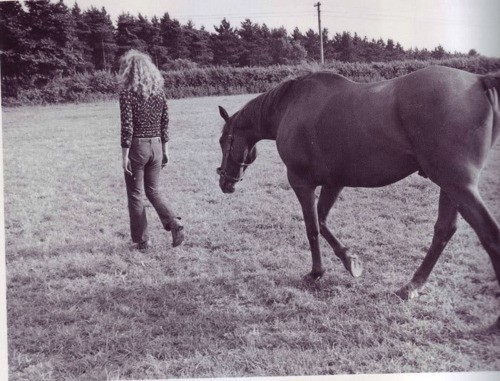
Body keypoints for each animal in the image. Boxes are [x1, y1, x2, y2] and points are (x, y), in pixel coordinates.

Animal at [218, 66, 500, 318]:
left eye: (223, 141)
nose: (224, 182)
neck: (290, 106)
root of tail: (479, 80)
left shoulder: (301, 183)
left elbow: (312, 227)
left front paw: (316, 272)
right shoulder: (334, 182)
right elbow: (322, 221)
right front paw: (350, 261)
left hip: (458, 185)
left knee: (488, 234)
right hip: (450, 186)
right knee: (443, 231)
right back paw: (411, 287)